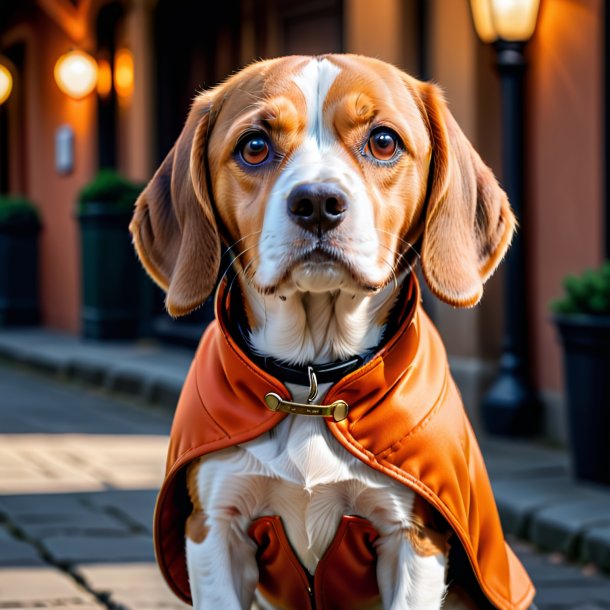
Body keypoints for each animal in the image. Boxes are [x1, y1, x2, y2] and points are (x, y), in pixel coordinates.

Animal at [129, 54, 532, 604]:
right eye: (254, 146)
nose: (318, 201)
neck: (312, 382)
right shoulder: (214, 528)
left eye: (383, 141)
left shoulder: (413, 540)